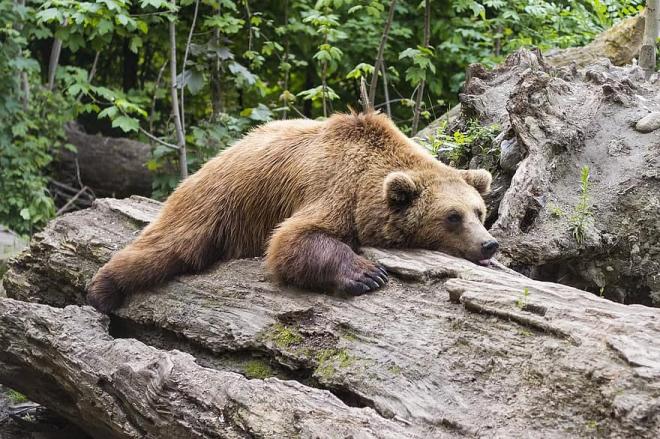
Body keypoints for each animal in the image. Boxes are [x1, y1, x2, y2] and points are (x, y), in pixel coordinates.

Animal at [87, 111, 499, 313]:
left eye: (479, 212)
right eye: (452, 216)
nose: (488, 245)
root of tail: (217, 156)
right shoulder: (334, 188)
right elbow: (293, 239)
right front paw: (367, 274)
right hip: (217, 202)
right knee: (169, 246)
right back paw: (102, 289)